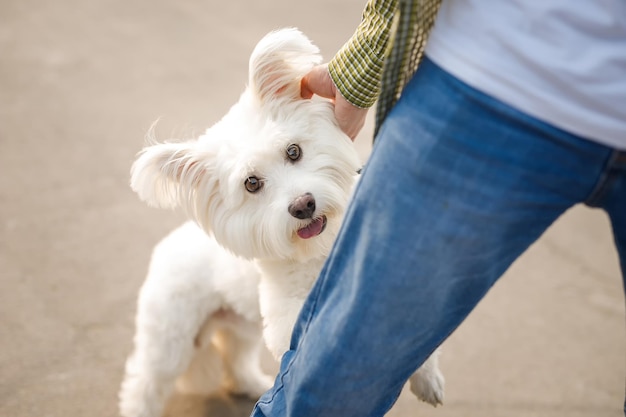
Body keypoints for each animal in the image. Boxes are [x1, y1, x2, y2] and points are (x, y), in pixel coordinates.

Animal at [118, 28, 444, 416]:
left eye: (293, 151)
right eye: (251, 183)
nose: (303, 205)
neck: (319, 250)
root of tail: (166, 246)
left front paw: (427, 378)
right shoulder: (287, 320)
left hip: (241, 328)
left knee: (236, 363)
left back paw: (251, 384)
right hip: (172, 340)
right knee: (143, 384)